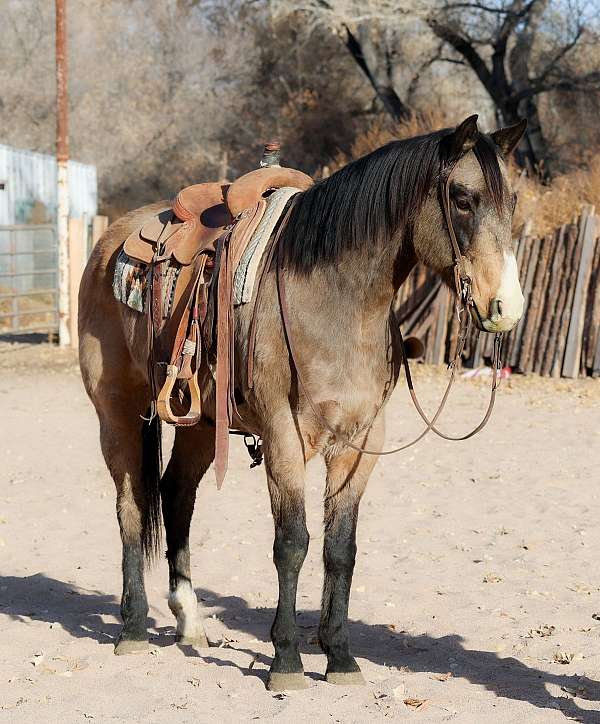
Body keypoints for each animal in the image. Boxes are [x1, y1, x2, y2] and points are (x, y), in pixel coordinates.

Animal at [78, 113, 524, 692]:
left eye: (511, 200)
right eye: (463, 199)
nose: (507, 306)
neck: (334, 302)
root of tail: (108, 242)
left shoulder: (360, 443)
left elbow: (340, 549)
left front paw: (339, 656)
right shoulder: (283, 437)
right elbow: (292, 542)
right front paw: (286, 659)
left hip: (201, 424)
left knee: (176, 495)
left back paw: (190, 621)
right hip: (116, 414)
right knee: (132, 505)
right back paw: (132, 626)